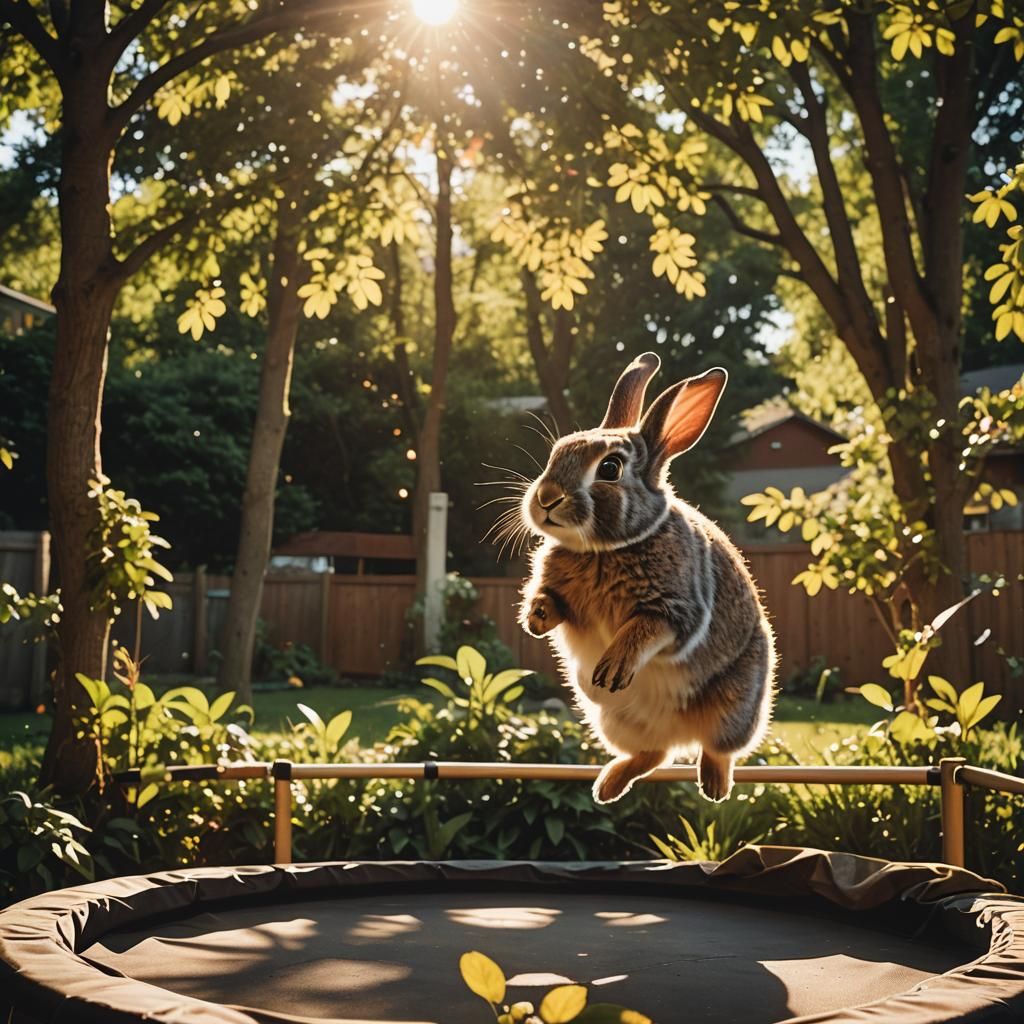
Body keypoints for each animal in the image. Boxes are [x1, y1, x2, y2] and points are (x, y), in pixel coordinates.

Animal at [517, 351, 776, 804]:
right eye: (556, 453)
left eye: (610, 467)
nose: (546, 498)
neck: (605, 549)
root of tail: (679, 734)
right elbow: (553, 600)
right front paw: (536, 619)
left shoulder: (677, 609)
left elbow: (647, 629)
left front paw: (613, 668)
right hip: (615, 722)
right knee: (654, 755)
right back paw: (608, 786)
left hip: (735, 708)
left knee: (717, 750)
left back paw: (713, 785)